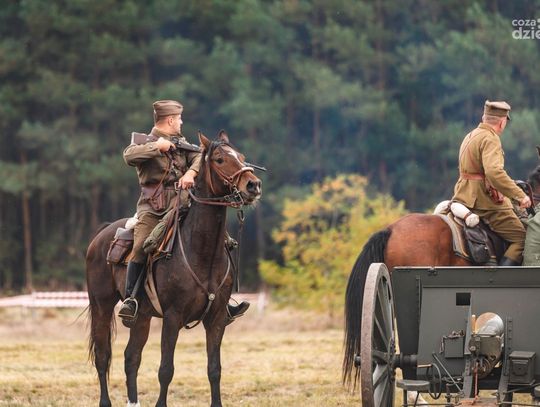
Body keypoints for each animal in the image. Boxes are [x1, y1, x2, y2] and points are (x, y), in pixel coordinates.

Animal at [86, 131, 262, 407]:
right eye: (220, 159)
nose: (253, 185)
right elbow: (165, 369)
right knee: (103, 356)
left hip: (142, 316)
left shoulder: (216, 319)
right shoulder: (172, 317)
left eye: (242, 157)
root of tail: (100, 235)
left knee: (131, 358)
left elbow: (214, 369)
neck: (201, 251)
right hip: (101, 306)